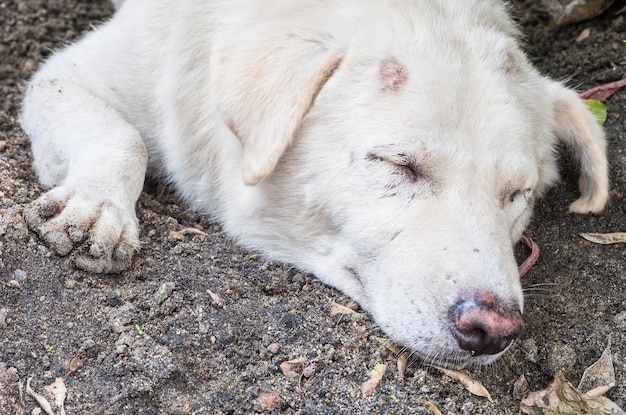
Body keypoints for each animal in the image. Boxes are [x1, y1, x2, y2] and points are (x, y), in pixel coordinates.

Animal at [22, 0, 608, 370]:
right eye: (398, 164)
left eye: (517, 195)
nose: (495, 329)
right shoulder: (65, 75)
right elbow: (125, 140)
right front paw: (98, 206)